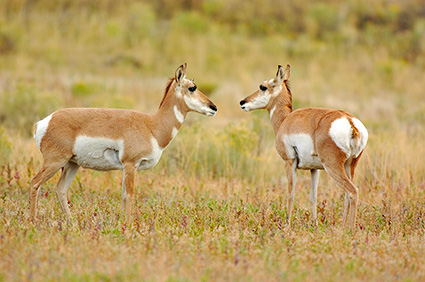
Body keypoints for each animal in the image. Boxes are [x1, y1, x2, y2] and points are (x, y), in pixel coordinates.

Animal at [30, 64, 217, 223]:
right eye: (192, 87)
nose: (213, 107)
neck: (152, 125)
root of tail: (45, 121)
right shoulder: (130, 165)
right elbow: (129, 195)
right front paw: (127, 226)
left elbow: (123, 196)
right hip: (55, 162)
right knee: (34, 183)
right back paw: (32, 221)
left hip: (71, 164)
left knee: (60, 189)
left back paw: (72, 223)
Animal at [240, 65, 366, 230]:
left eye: (263, 87)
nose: (242, 102)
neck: (285, 120)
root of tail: (350, 122)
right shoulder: (314, 169)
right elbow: (313, 197)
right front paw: (315, 224)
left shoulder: (289, 162)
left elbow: (290, 193)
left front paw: (286, 225)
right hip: (349, 166)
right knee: (347, 194)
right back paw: (342, 227)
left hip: (333, 166)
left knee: (352, 191)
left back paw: (349, 229)